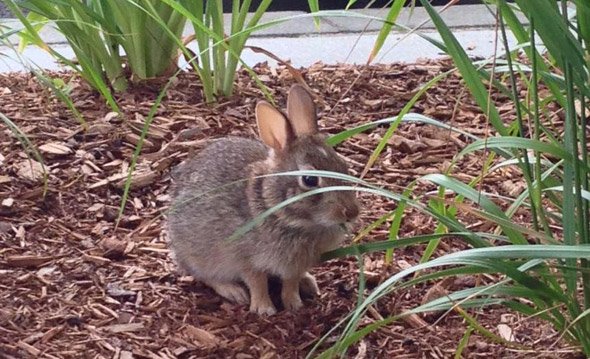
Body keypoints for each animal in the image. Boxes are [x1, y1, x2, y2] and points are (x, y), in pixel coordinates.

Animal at [166, 84, 360, 316]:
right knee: (205, 276)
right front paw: (264, 309)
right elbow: (257, 282)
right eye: (310, 180)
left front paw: (294, 304)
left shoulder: (293, 266)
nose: (352, 212)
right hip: (198, 255)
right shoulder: (247, 259)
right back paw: (233, 291)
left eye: (344, 166)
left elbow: (290, 282)